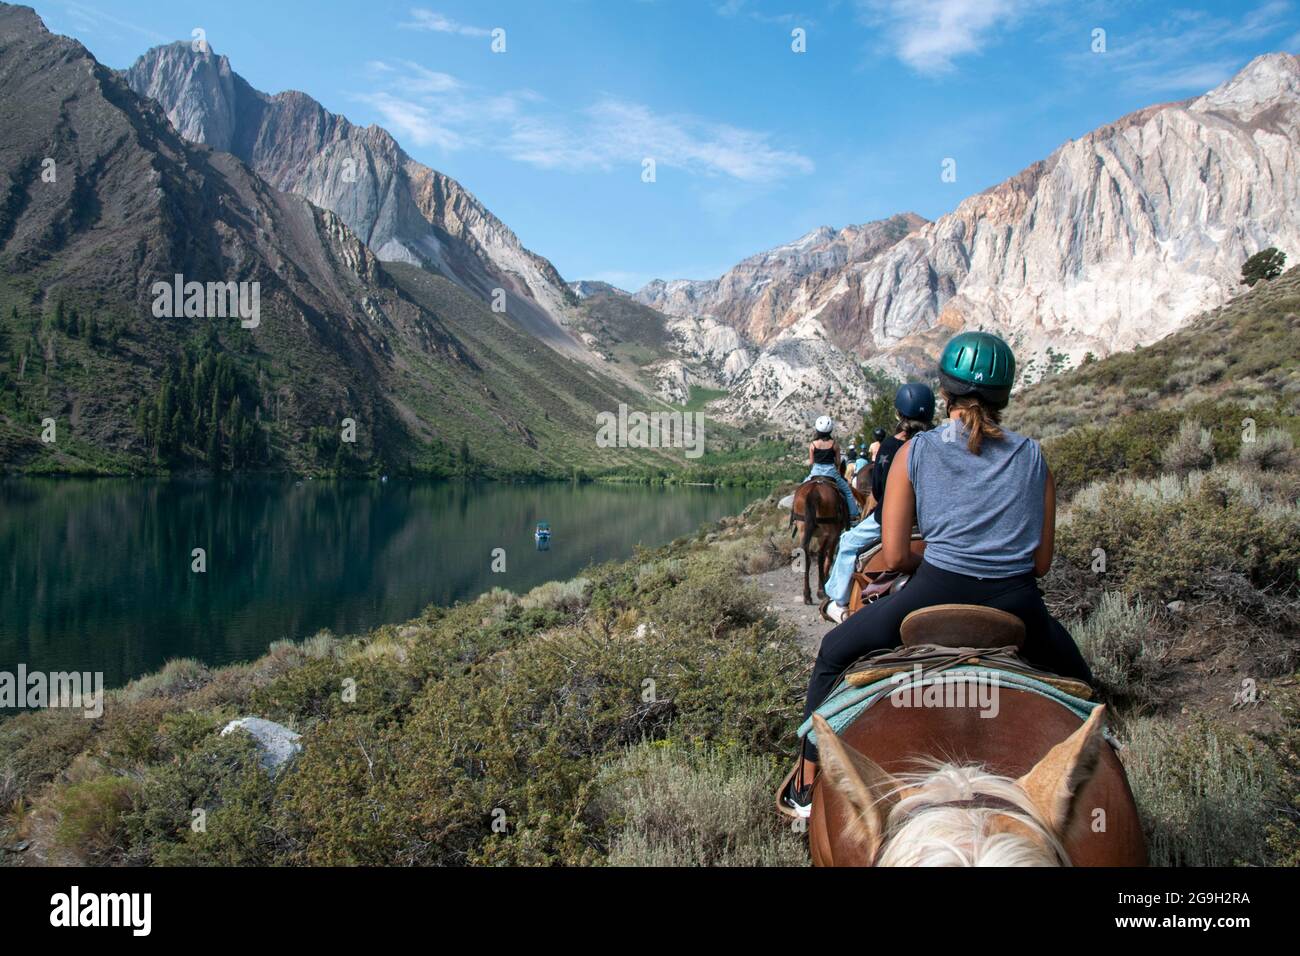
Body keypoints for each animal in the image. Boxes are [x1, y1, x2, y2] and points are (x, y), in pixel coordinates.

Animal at [785, 478, 847, 606]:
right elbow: (829, 559)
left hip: (803, 529)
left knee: (806, 556)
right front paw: (826, 580)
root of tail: (813, 490)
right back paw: (821, 591)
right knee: (821, 555)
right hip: (828, 533)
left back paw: (807, 595)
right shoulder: (835, 536)